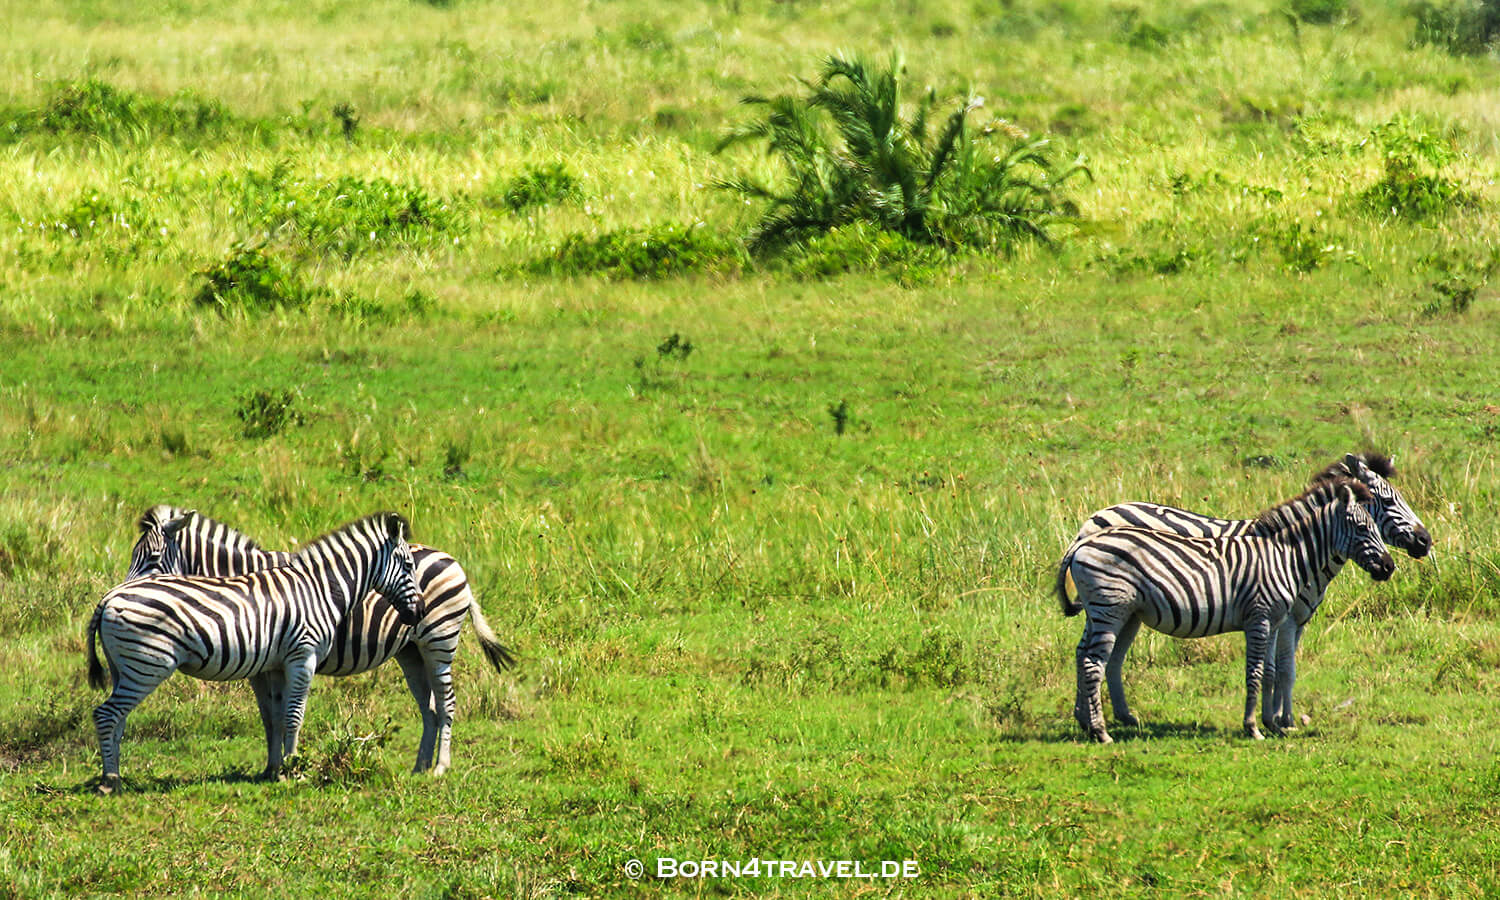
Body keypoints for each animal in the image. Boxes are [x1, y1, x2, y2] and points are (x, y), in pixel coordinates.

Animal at [87, 512, 422, 792]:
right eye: (408, 566)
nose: (418, 613)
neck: (319, 589)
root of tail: (109, 599)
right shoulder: (303, 657)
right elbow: (294, 716)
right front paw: (294, 771)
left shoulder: (275, 665)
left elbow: (276, 717)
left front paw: (277, 770)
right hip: (146, 665)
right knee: (106, 714)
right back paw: (110, 781)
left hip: (125, 668)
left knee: (117, 719)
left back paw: (114, 775)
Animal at [125, 504, 516, 776]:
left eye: (154, 558)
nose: (125, 595)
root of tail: (452, 559)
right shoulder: (265, 665)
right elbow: (270, 716)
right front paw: (272, 767)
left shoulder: (268, 661)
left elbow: (280, 714)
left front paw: (282, 766)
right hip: (411, 652)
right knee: (430, 708)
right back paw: (420, 767)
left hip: (439, 640)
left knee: (447, 703)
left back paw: (440, 767)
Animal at [1066, 452, 1429, 733]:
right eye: (1387, 500)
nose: (1425, 541)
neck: (1296, 553)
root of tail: (1092, 521)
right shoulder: (1283, 619)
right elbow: (1281, 670)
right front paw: (1282, 720)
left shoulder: (1294, 620)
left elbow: (1280, 670)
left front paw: (1277, 718)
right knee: (1092, 654)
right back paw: (1093, 721)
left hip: (1123, 611)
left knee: (1090, 653)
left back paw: (1098, 717)